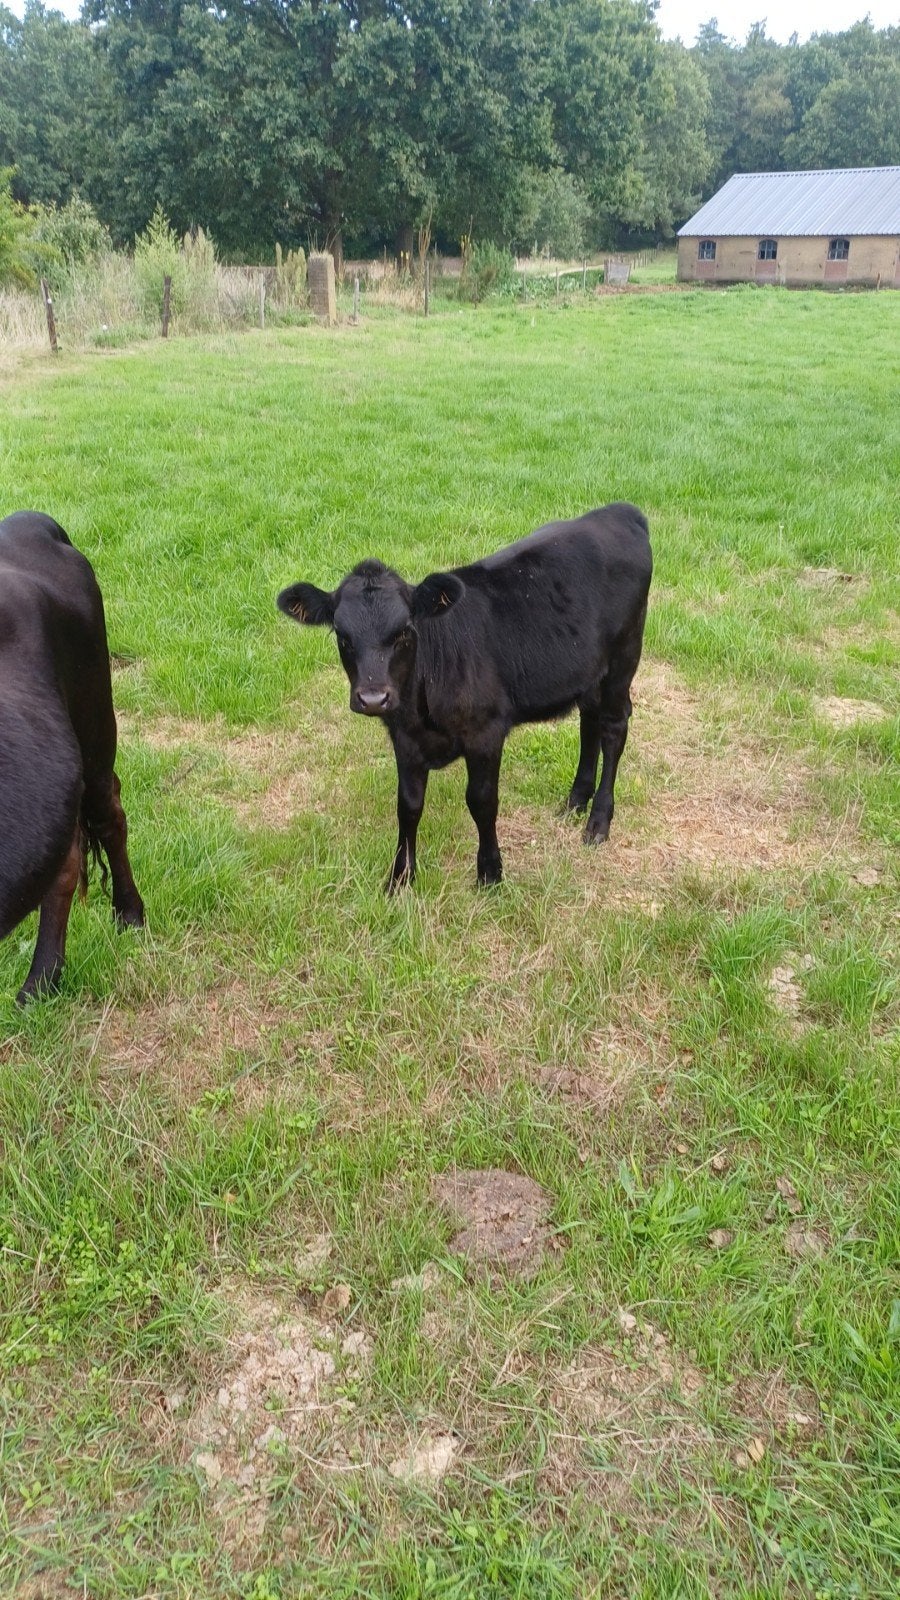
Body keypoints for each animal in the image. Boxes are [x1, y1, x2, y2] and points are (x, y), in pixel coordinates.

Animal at [277, 502, 652, 891]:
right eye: (342, 635)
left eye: (405, 632)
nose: (373, 698)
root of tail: (620, 511)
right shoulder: (404, 739)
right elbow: (408, 805)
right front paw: (400, 878)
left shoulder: (485, 733)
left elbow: (481, 802)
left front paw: (490, 873)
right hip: (587, 672)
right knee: (589, 722)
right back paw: (575, 801)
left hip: (623, 659)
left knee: (613, 728)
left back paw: (598, 820)